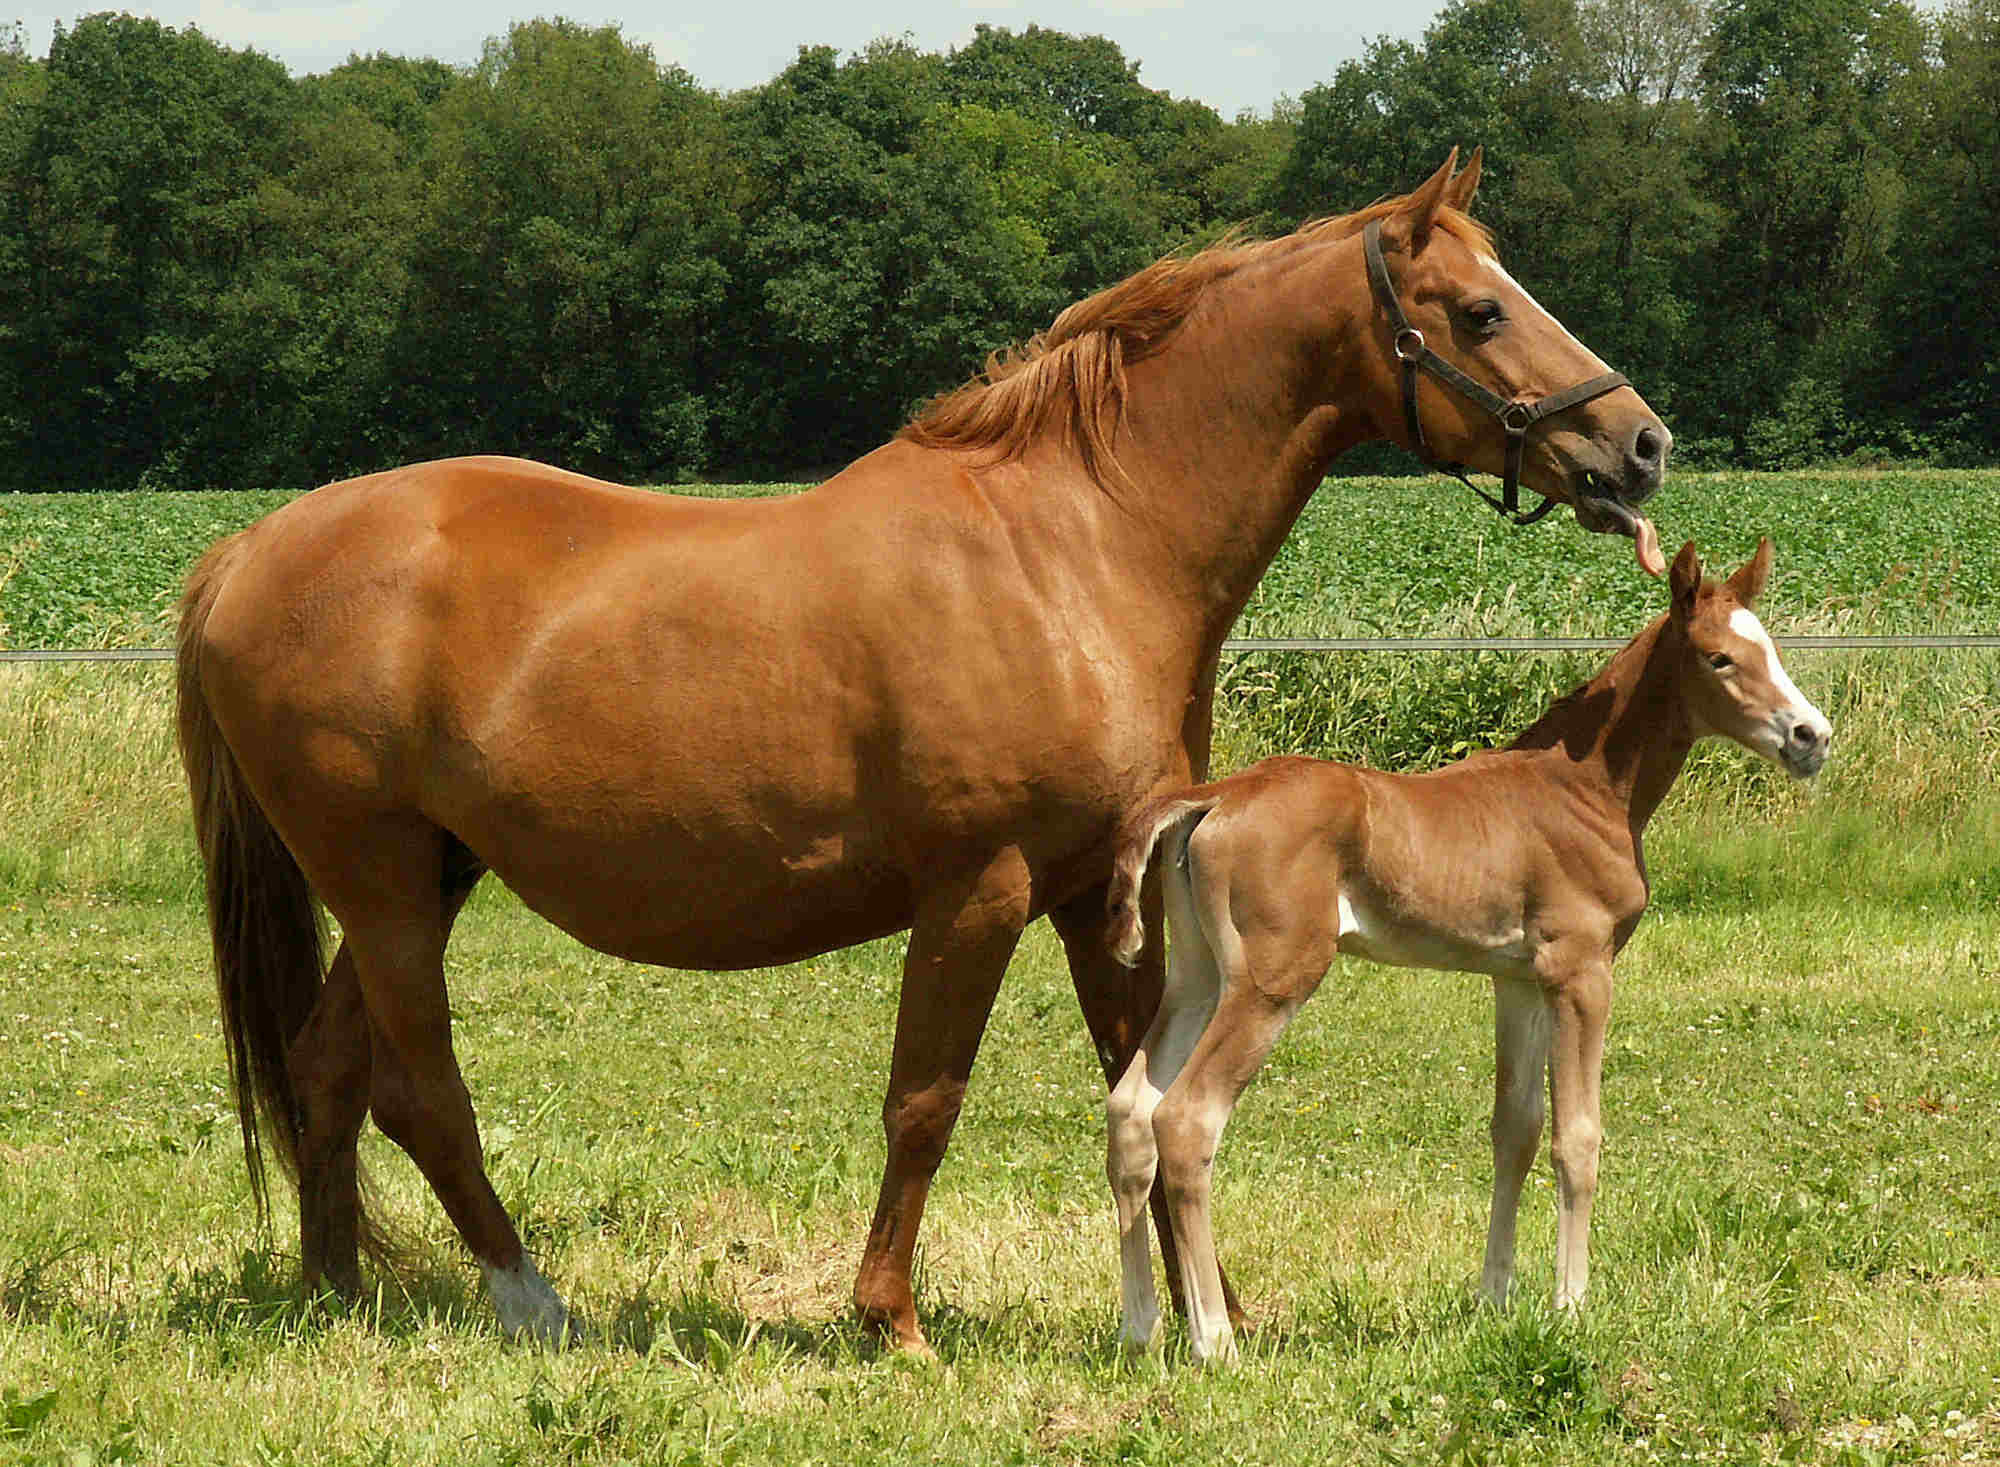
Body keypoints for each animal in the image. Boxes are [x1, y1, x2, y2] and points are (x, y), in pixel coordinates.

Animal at [174, 148, 1672, 1351]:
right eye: (1481, 309)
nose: (1642, 443)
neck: (1074, 544)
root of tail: (249, 550)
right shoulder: (980, 888)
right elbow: (925, 1100)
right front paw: (889, 1318)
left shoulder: (1097, 891)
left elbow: (1139, 1091)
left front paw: (1210, 1313)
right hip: (379, 884)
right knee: (423, 1089)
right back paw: (529, 1298)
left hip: (428, 875)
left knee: (328, 1069)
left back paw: (333, 1290)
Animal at [1101, 538, 1830, 1363]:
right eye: (1719, 657)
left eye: (1771, 647)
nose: (1811, 737)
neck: (1583, 787)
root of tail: (1214, 796)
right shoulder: (1580, 972)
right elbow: (1577, 1137)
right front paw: (1571, 1305)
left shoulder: (1516, 980)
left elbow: (1515, 1130)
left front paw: (1494, 1298)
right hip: (1270, 980)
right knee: (1186, 1118)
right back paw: (1213, 1340)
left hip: (1197, 979)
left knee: (1130, 1110)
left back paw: (1138, 1327)